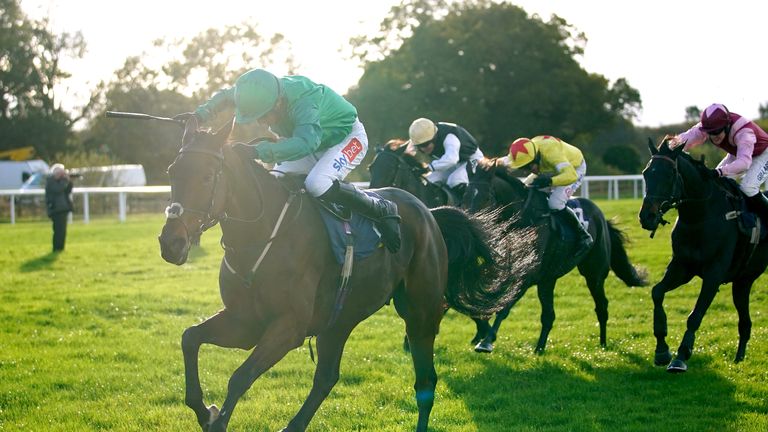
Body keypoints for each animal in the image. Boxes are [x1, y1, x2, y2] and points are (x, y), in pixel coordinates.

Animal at [156, 118, 520, 432]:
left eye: (207, 176)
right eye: (172, 172)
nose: (171, 243)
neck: (261, 235)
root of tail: (429, 212)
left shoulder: (288, 326)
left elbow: (240, 377)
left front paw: (216, 420)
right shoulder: (245, 321)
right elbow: (190, 337)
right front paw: (204, 410)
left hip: (420, 309)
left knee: (426, 379)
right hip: (339, 318)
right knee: (327, 376)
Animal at [462, 160, 648, 352]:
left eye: (486, 198)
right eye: (464, 196)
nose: (469, 225)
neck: (524, 219)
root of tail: (601, 215)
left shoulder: (527, 275)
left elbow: (504, 307)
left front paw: (486, 341)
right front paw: (482, 333)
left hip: (594, 273)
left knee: (601, 306)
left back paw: (603, 344)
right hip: (548, 279)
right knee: (549, 315)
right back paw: (540, 349)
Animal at [636, 138, 768, 372]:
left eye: (669, 174)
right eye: (646, 173)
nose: (647, 217)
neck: (700, 217)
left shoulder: (714, 274)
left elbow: (695, 315)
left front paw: (681, 355)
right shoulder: (682, 267)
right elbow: (657, 292)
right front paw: (661, 350)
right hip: (743, 281)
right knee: (745, 321)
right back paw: (739, 357)